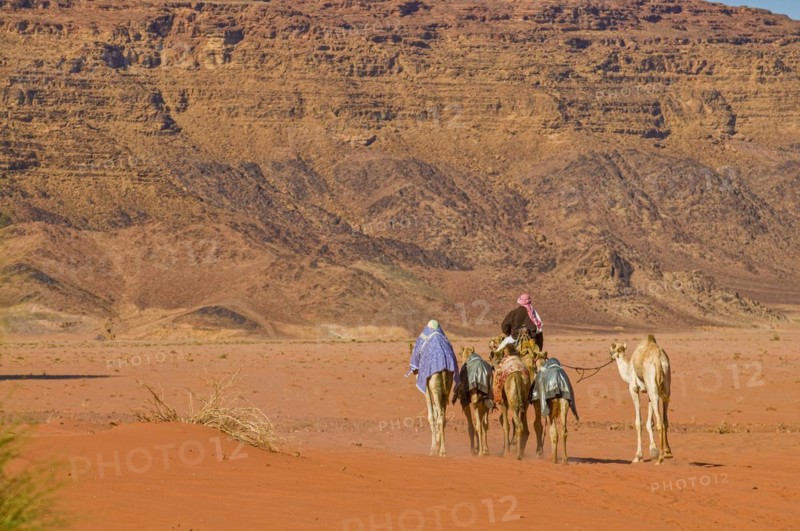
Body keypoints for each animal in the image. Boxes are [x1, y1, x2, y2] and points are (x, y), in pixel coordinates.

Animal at [609, 335, 673, 464]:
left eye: (610, 350)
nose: (610, 357)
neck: (628, 369)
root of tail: (658, 359)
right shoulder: (648, 391)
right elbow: (649, 422)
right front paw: (653, 449)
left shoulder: (633, 388)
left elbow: (639, 423)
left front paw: (638, 456)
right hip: (665, 385)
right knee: (665, 419)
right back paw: (667, 452)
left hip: (652, 384)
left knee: (660, 422)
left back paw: (660, 459)